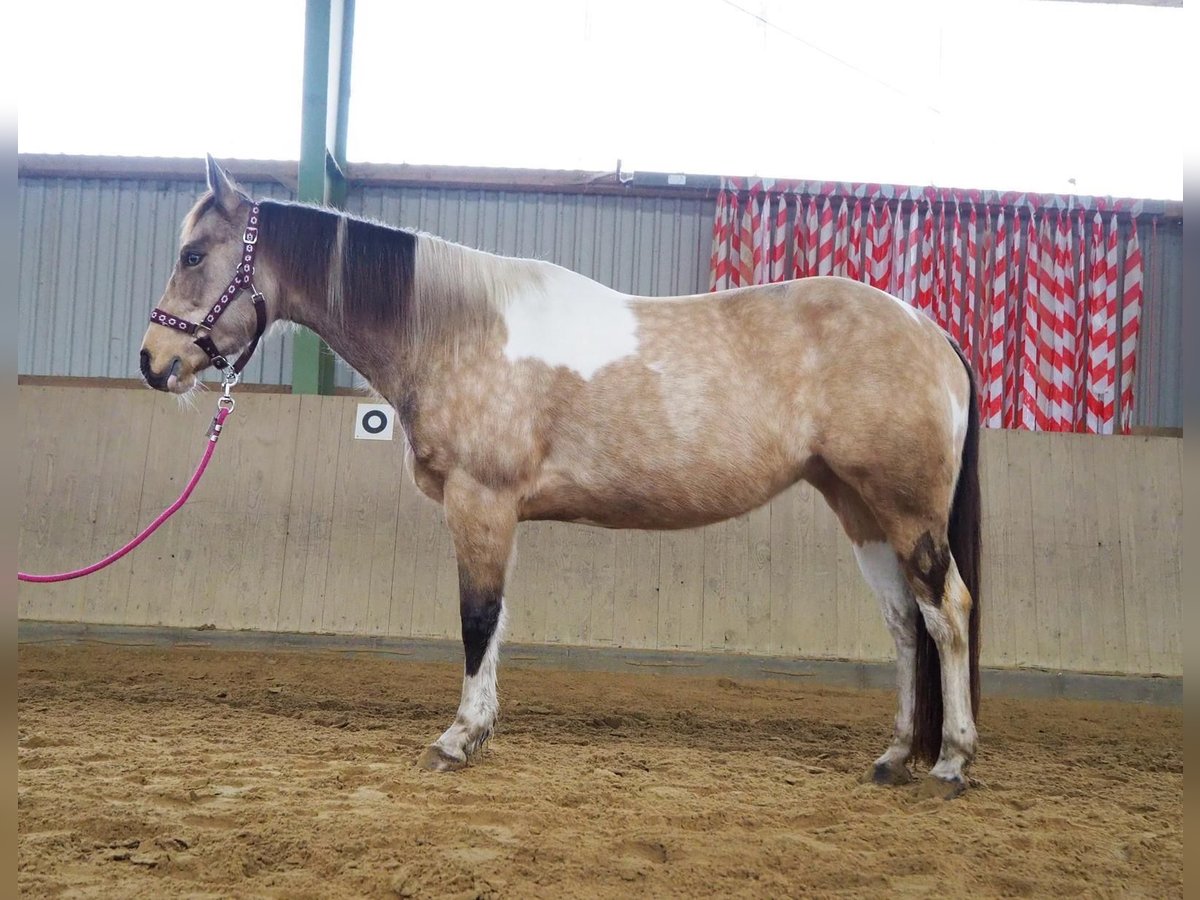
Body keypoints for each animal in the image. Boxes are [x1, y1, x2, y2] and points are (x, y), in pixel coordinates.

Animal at [140, 157, 981, 800]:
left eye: (193, 255)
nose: (153, 362)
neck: (457, 331)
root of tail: (930, 332)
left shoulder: (480, 502)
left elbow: (477, 617)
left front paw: (458, 738)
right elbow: (496, 620)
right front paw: (478, 730)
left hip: (907, 510)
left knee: (946, 614)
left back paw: (951, 761)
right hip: (860, 508)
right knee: (903, 623)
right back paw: (894, 756)